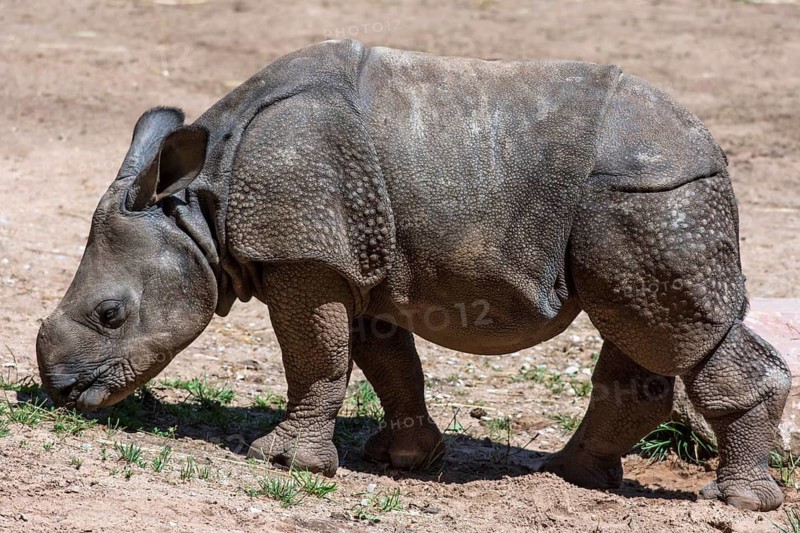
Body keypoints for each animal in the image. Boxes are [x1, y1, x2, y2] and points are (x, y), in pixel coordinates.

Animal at [36, 40, 789, 511]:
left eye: (111, 315)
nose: (62, 392)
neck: (199, 205)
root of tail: (712, 148)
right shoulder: (354, 257)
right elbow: (384, 358)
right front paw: (402, 457)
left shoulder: (306, 253)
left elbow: (313, 354)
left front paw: (282, 460)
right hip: (645, 197)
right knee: (639, 328)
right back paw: (569, 477)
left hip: (653, 197)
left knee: (671, 330)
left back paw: (733, 502)